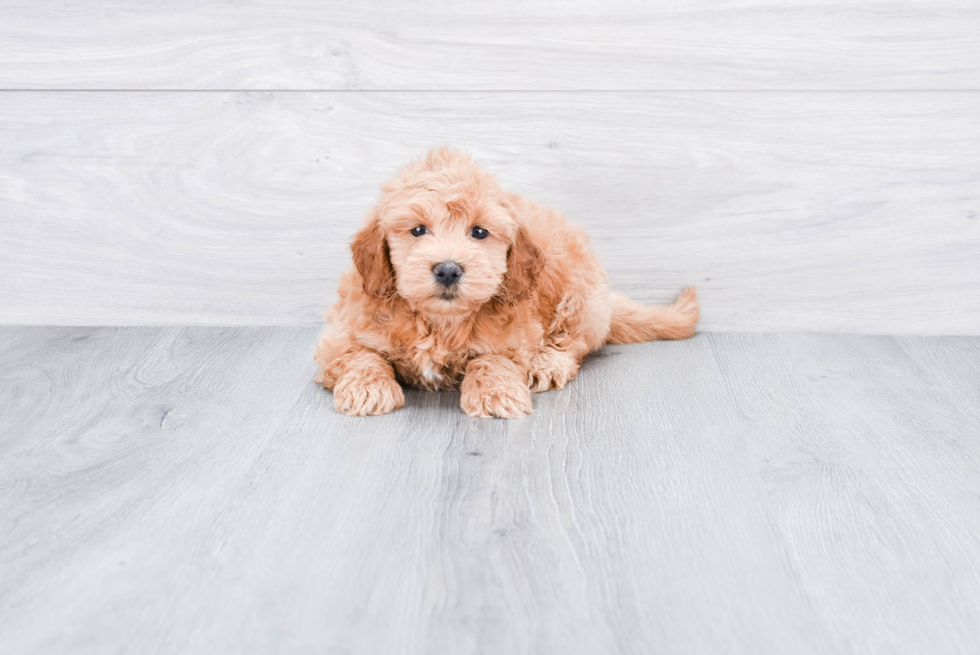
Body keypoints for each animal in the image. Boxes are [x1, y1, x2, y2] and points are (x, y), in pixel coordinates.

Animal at [314, 147, 696, 420]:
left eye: (479, 232)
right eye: (418, 230)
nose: (448, 270)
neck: (440, 323)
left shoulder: (515, 339)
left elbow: (491, 359)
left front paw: (495, 393)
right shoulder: (340, 335)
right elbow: (360, 355)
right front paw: (368, 389)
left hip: (580, 296)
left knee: (572, 341)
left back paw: (548, 365)